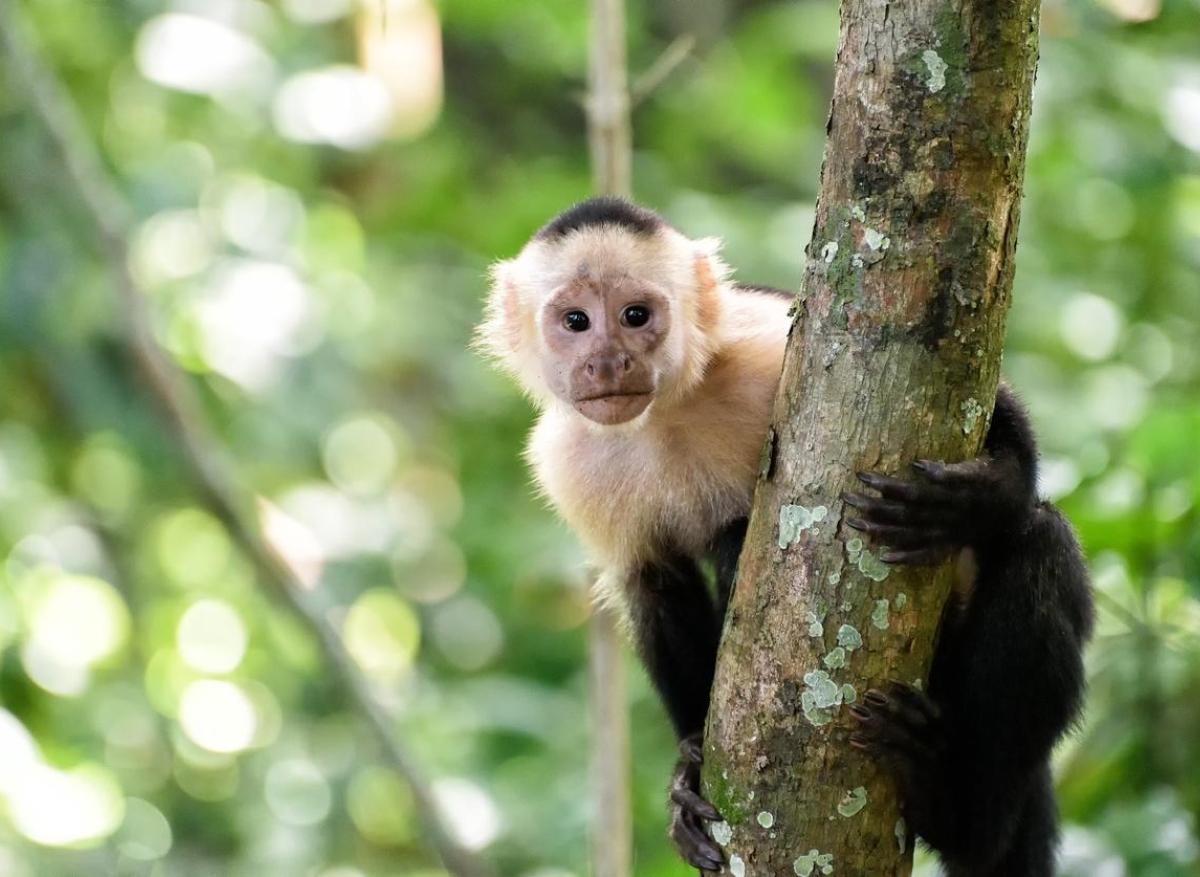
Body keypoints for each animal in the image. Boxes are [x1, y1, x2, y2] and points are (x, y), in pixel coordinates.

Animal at [475, 199, 1089, 877]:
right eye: (576, 321)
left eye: (636, 315)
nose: (609, 362)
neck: (664, 414)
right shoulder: (566, 462)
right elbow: (654, 585)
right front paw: (688, 769)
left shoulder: (764, 344)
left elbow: (994, 405)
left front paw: (977, 497)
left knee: (1040, 543)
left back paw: (961, 815)